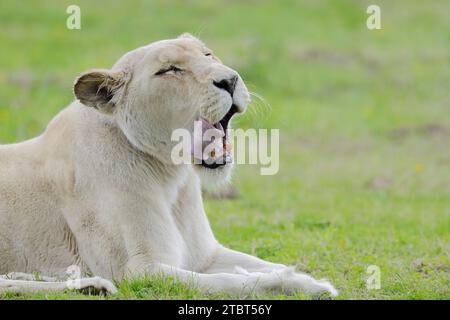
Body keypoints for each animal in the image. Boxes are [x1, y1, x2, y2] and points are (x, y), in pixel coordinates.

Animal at [0, 33, 338, 296]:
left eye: (208, 54)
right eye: (170, 70)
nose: (230, 80)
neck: (170, 176)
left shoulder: (205, 255)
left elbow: (260, 264)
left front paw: (309, 280)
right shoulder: (140, 270)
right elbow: (231, 282)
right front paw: (296, 285)